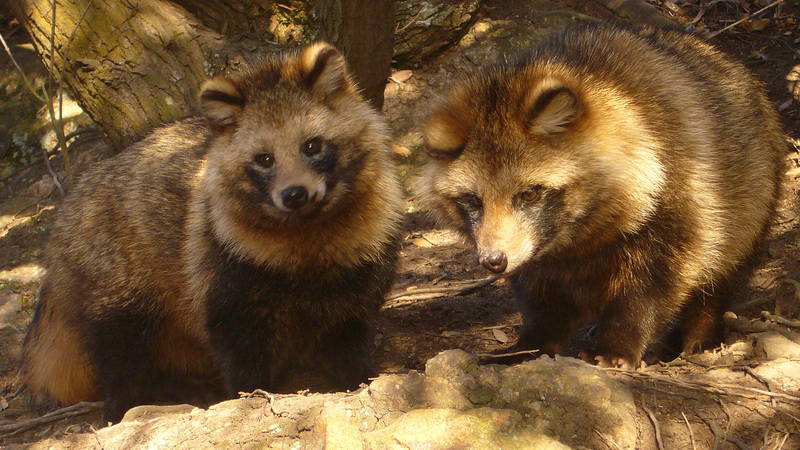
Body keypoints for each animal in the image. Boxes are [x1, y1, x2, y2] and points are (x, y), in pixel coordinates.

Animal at [20, 42, 406, 422]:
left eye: (312, 145)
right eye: (264, 159)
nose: (295, 195)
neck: (307, 227)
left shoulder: (364, 256)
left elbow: (349, 330)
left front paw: (358, 377)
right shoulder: (224, 264)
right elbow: (238, 344)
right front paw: (251, 394)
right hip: (111, 274)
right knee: (120, 350)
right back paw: (123, 406)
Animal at [416, 23, 784, 370]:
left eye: (529, 194)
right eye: (473, 201)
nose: (493, 261)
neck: (575, 238)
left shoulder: (681, 196)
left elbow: (654, 284)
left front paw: (620, 339)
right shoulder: (533, 250)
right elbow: (541, 294)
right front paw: (532, 342)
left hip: (750, 198)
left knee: (720, 270)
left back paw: (702, 329)